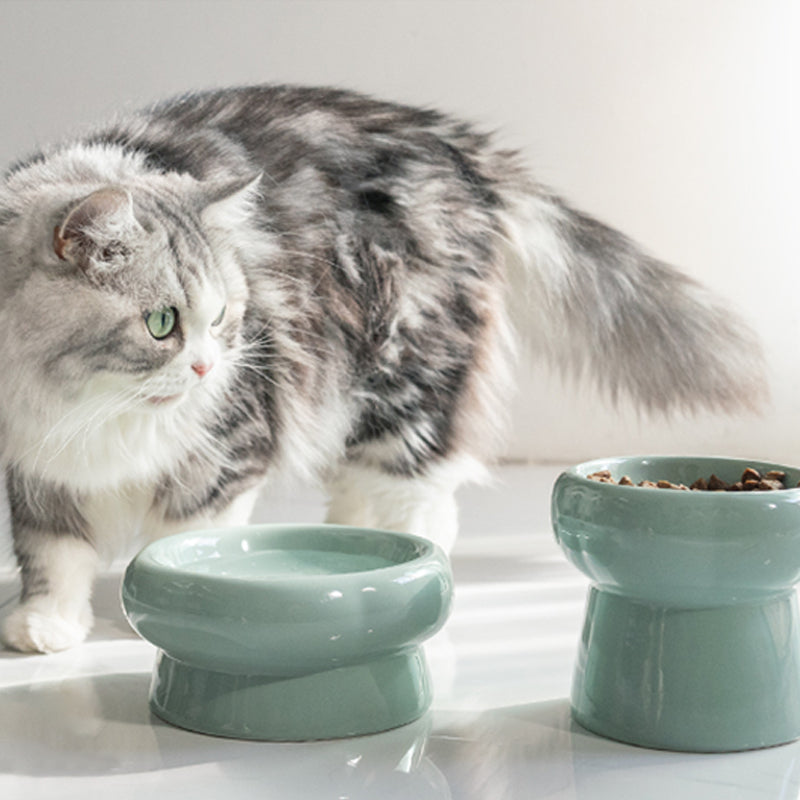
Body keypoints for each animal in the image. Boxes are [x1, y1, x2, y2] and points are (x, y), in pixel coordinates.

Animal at [0, 84, 764, 652]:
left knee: (421, 489)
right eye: (162, 323)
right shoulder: (34, 466)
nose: (207, 369)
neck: (87, 409)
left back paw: (407, 543)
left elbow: (181, 538)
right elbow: (53, 554)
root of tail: (453, 144)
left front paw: (165, 598)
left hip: (407, 376)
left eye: (222, 318)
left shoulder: (228, 451)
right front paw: (46, 627)